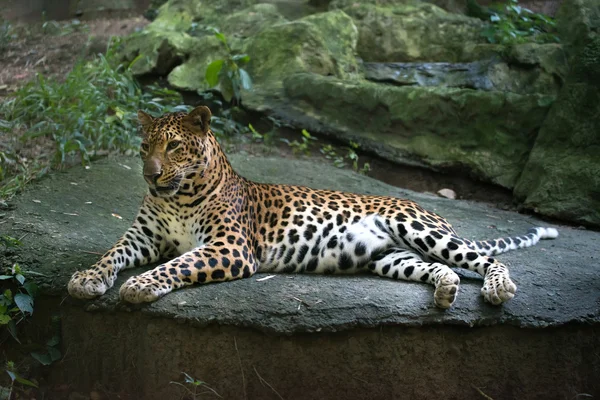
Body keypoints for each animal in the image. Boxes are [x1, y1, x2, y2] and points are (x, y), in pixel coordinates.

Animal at [68, 104, 560, 308]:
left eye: (172, 147)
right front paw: (87, 279)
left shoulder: (229, 247)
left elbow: (178, 263)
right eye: (144, 147)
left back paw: (498, 288)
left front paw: (140, 285)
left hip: (419, 229)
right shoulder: (143, 236)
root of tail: (433, 210)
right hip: (391, 257)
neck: (179, 196)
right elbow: (112, 253)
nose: (150, 176)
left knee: (486, 258)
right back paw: (445, 292)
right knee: (444, 269)